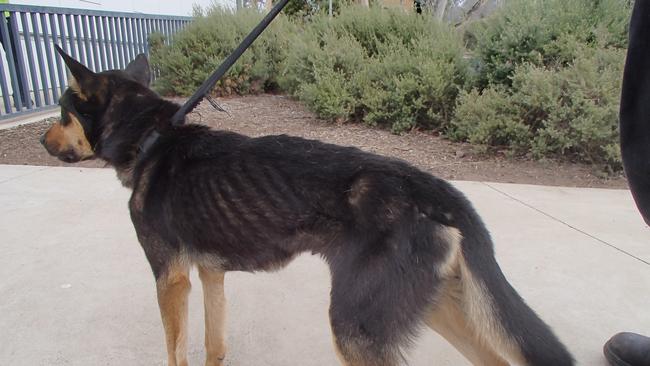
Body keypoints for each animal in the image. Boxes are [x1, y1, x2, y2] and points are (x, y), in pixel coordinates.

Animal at [40, 46, 572, 366]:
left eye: (62, 113)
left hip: (358, 328)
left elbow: (177, 352)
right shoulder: (210, 276)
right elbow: (214, 346)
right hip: (440, 307)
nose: (43, 143)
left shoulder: (170, 280)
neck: (151, 138)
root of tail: (438, 190)